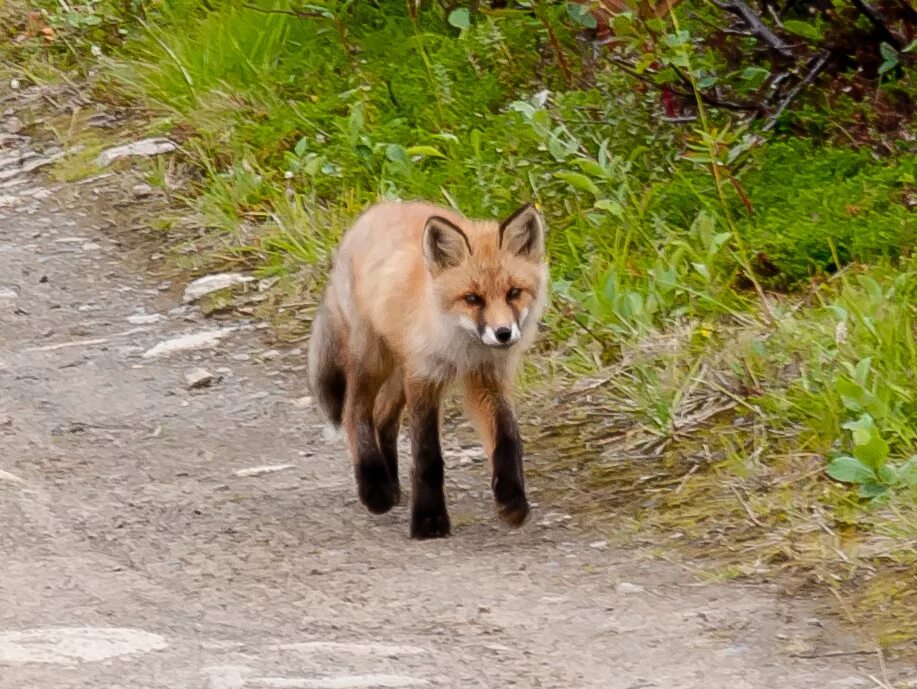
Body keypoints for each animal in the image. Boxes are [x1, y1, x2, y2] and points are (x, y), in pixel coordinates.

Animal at [308, 199, 552, 536]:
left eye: (514, 292)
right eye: (472, 298)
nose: (503, 334)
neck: (464, 348)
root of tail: (379, 207)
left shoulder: (488, 379)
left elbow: (508, 440)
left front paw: (512, 501)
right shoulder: (426, 377)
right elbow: (427, 455)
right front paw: (429, 520)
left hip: (400, 372)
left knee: (382, 417)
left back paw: (392, 484)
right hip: (374, 359)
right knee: (354, 412)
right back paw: (375, 488)